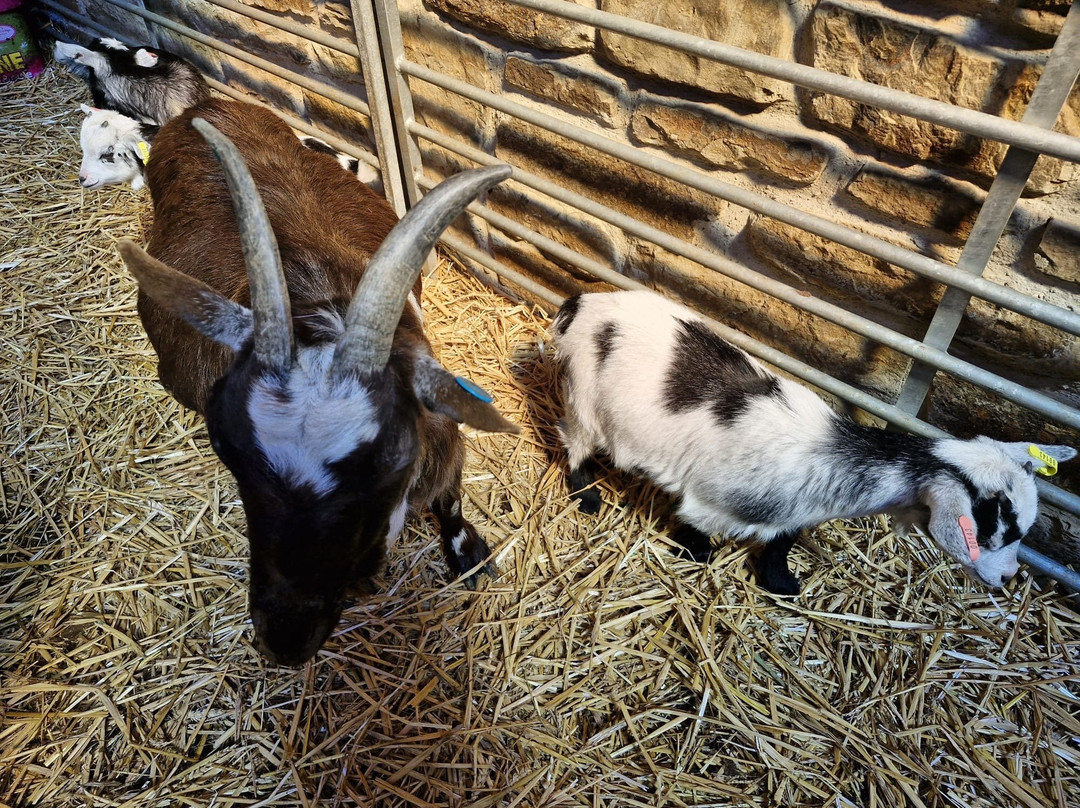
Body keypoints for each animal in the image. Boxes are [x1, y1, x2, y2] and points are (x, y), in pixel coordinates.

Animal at [117, 98, 516, 665]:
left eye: (393, 461)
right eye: (225, 448)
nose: (286, 638)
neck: (323, 300)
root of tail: (201, 106)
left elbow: (453, 494)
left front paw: (471, 555)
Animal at [552, 290, 1075, 596]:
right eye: (993, 531)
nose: (1007, 578)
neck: (833, 458)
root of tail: (582, 302)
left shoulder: (794, 514)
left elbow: (781, 544)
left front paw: (781, 584)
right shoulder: (708, 502)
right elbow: (693, 530)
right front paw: (696, 554)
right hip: (582, 396)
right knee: (574, 442)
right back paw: (586, 496)